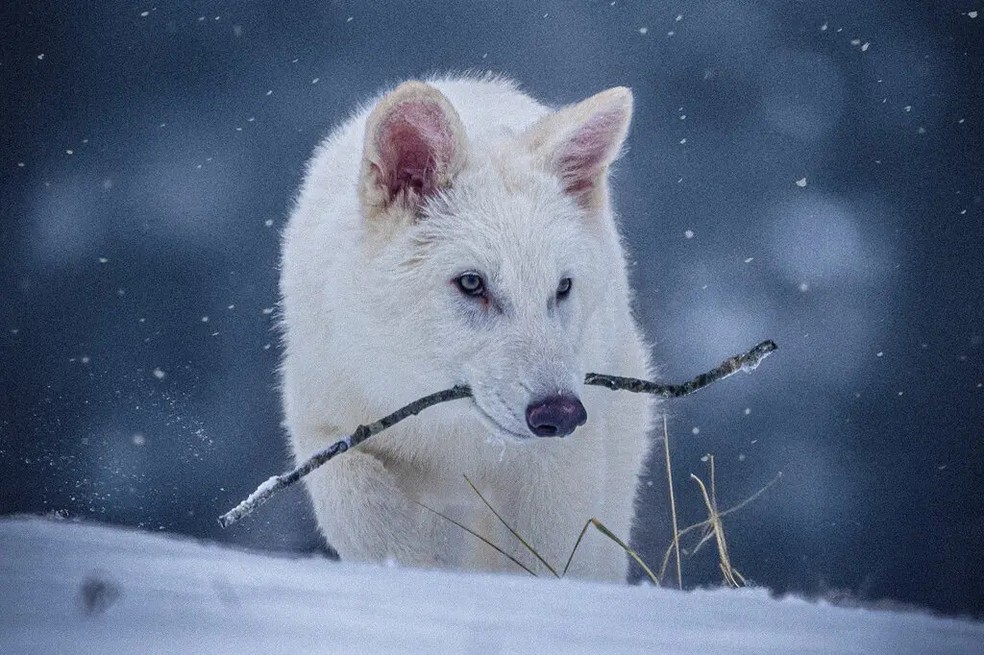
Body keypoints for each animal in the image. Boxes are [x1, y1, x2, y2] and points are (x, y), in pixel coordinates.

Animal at [280, 75, 655, 581]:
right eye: (472, 283)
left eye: (561, 287)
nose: (560, 413)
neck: (452, 434)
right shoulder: (326, 429)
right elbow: (367, 514)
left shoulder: (558, 467)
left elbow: (544, 559)